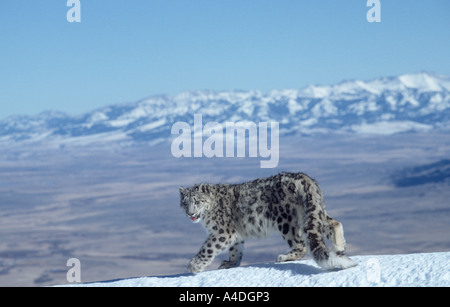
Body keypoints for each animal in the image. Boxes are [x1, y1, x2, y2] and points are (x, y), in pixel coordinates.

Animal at [178, 173, 356, 274]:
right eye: (184, 203)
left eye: (197, 201)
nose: (190, 213)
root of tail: (305, 178)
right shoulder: (235, 235)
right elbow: (236, 250)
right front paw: (230, 263)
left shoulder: (222, 232)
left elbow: (207, 248)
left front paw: (194, 266)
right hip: (312, 212)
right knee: (334, 223)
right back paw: (339, 246)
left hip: (285, 221)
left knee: (301, 245)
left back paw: (284, 256)